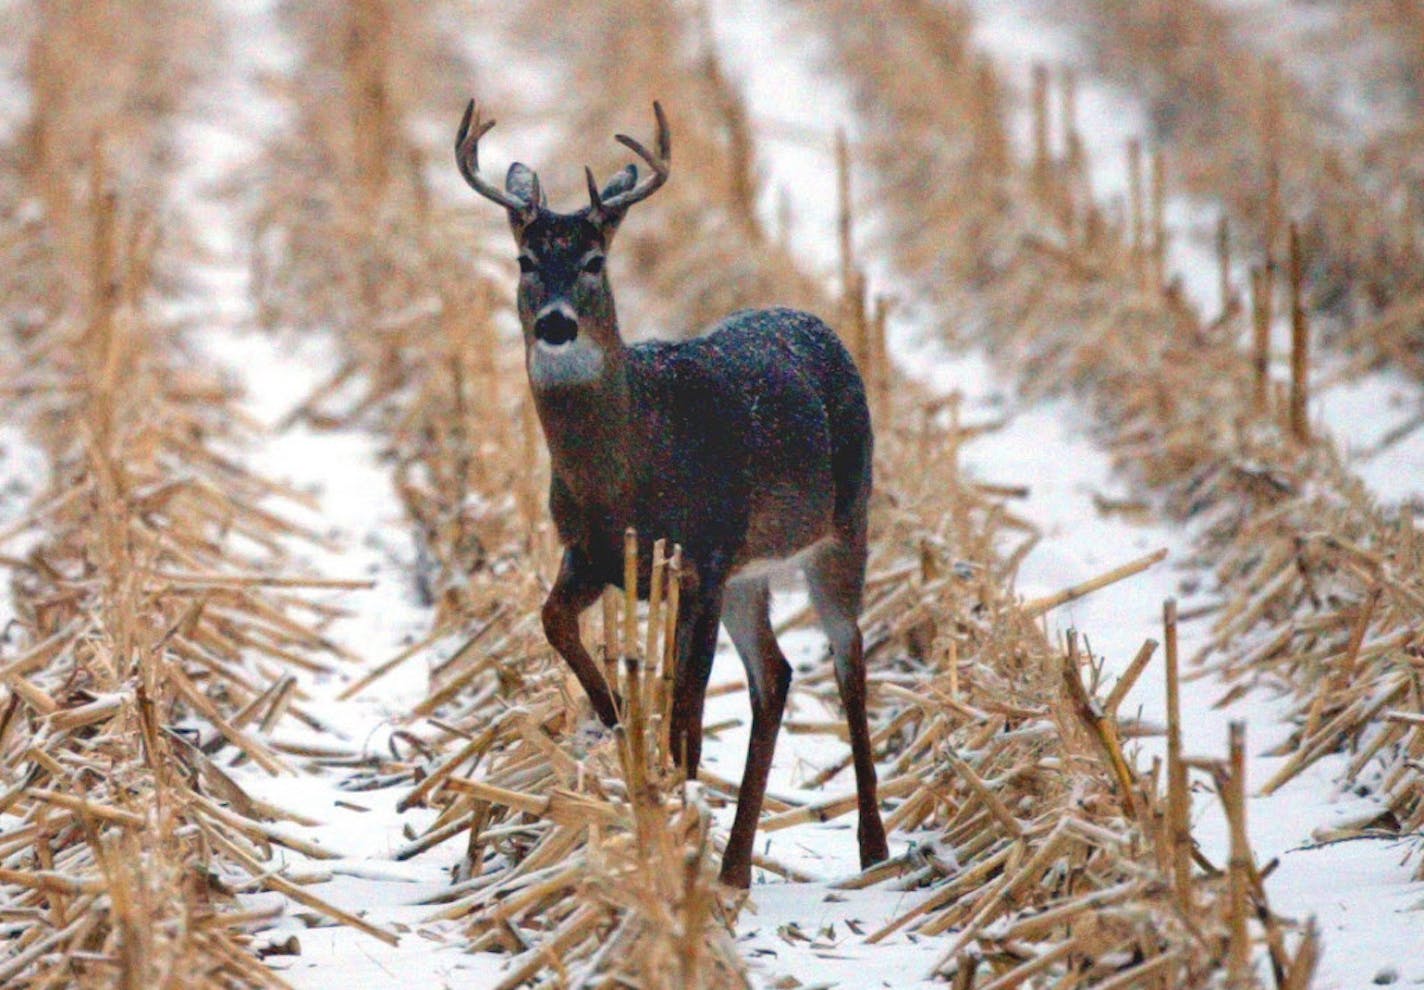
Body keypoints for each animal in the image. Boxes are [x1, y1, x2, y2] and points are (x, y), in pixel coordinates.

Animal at [455, 102, 882, 888]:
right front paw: (618, 719)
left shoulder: (704, 556)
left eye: (595, 261)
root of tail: (816, 322)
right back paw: (736, 866)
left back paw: (874, 848)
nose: (556, 323)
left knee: (849, 661)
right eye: (527, 260)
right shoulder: (592, 552)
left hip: (843, 528)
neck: (630, 470)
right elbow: (553, 623)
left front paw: (674, 793)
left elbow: (688, 693)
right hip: (751, 574)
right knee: (775, 674)